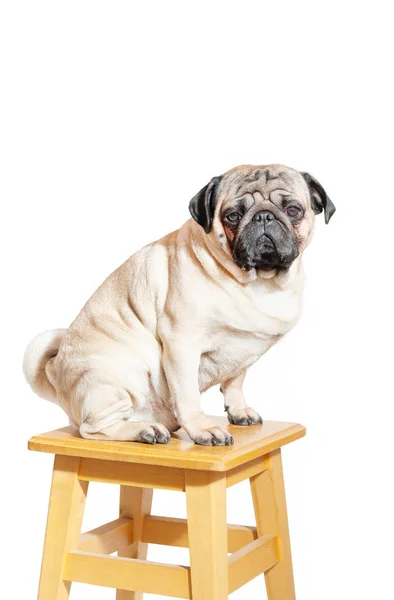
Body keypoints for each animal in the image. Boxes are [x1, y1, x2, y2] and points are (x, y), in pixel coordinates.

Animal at [23, 164, 334, 446]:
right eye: (232, 216)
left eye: (293, 210)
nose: (264, 216)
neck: (258, 283)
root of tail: (54, 371)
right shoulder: (182, 345)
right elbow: (187, 395)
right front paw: (202, 430)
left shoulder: (243, 350)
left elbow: (234, 381)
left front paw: (238, 410)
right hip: (116, 377)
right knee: (93, 429)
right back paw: (144, 431)